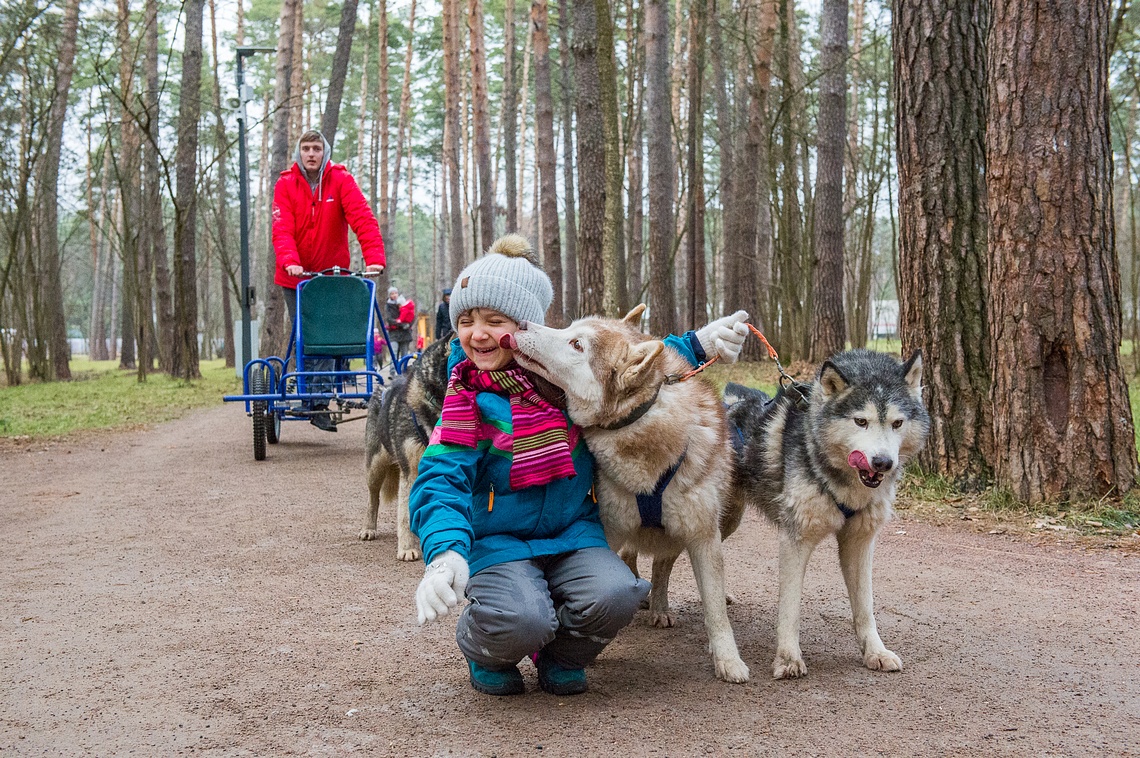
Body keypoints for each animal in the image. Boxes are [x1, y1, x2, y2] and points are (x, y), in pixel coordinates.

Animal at [364, 339, 453, 558]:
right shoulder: (410, 472)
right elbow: (405, 515)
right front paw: (407, 548)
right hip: (375, 467)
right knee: (373, 498)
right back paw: (369, 528)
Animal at [508, 305, 747, 683]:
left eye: (577, 344)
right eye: (569, 329)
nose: (519, 323)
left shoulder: (703, 536)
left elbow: (714, 610)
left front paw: (728, 660)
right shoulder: (609, 527)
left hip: (723, 522)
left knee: (662, 565)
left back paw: (660, 606)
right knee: (633, 560)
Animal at [729, 351, 925, 679]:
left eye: (897, 423)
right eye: (861, 421)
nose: (883, 462)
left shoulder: (859, 543)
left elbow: (865, 608)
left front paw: (875, 652)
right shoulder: (795, 541)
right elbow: (790, 608)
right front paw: (788, 659)